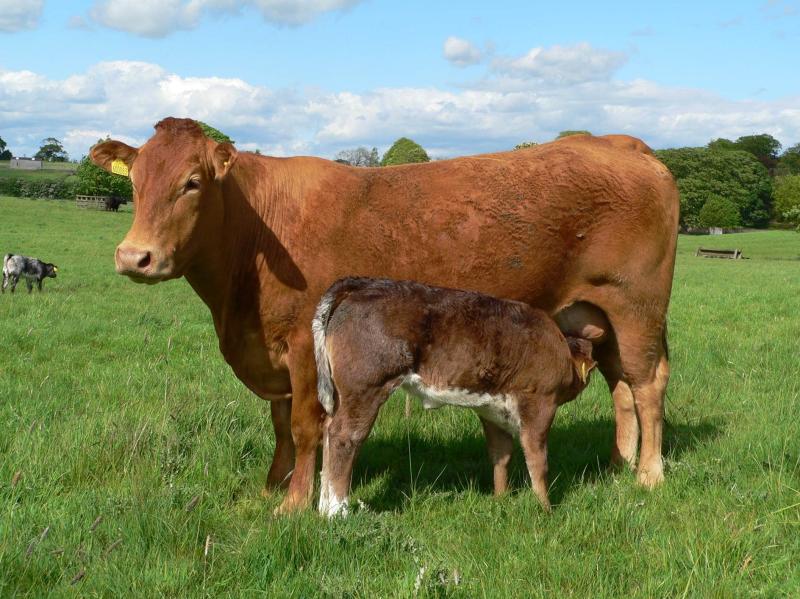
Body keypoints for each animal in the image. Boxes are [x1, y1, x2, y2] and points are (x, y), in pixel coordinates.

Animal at [313, 277, 598, 516]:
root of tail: (363, 285)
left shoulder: (492, 410)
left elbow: (501, 455)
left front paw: (500, 499)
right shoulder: (540, 402)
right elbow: (537, 459)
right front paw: (546, 509)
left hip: (343, 394)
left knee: (328, 430)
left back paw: (323, 508)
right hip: (367, 386)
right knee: (344, 437)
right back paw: (337, 512)